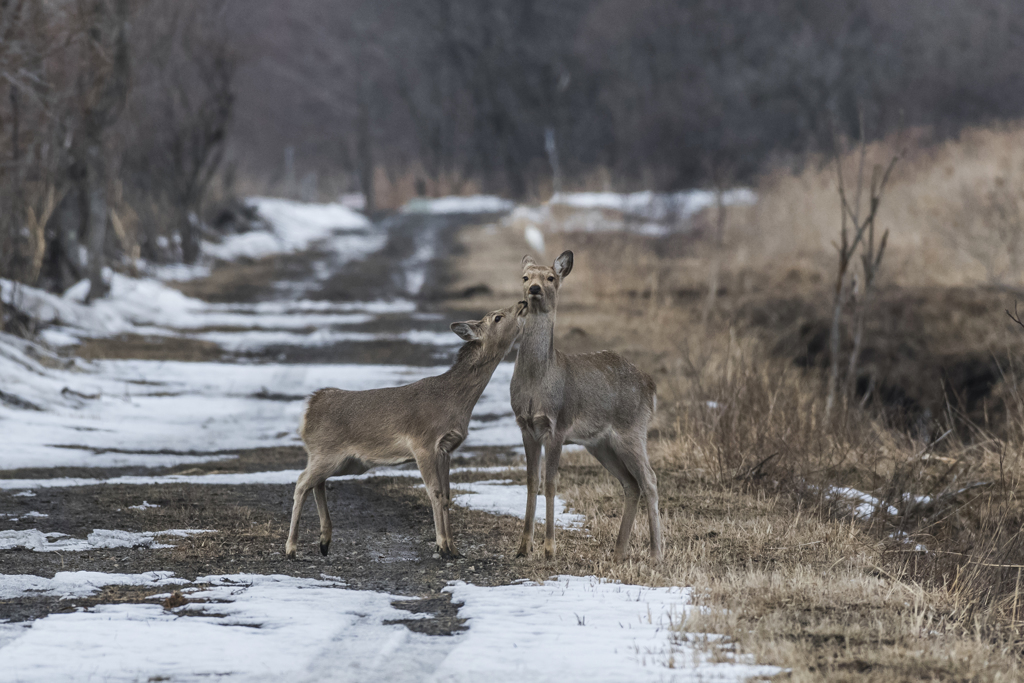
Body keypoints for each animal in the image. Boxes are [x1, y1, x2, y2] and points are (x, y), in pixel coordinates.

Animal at [288, 303, 528, 561]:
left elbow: (447, 495)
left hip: (347, 461)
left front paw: (454, 549)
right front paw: (441, 546)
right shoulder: (423, 443)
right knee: (301, 482)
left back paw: (324, 541)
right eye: (498, 317)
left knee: (317, 483)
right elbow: (435, 492)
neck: (454, 401)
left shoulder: (446, 449)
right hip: (327, 452)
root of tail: (309, 409)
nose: (522, 303)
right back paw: (291, 547)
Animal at [509, 250, 663, 561]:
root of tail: (650, 386)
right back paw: (619, 552)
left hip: (632, 429)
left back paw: (655, 553)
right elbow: (531, 482)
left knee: (650, 480)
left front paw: (550, 548)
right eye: (525, 276)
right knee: (631, 483)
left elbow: (551, 484)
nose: (534, 289)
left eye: (551, 277)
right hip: (600, 444)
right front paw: (523, 547)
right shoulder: (526, 426)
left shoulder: (557, 425)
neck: (538, 380)